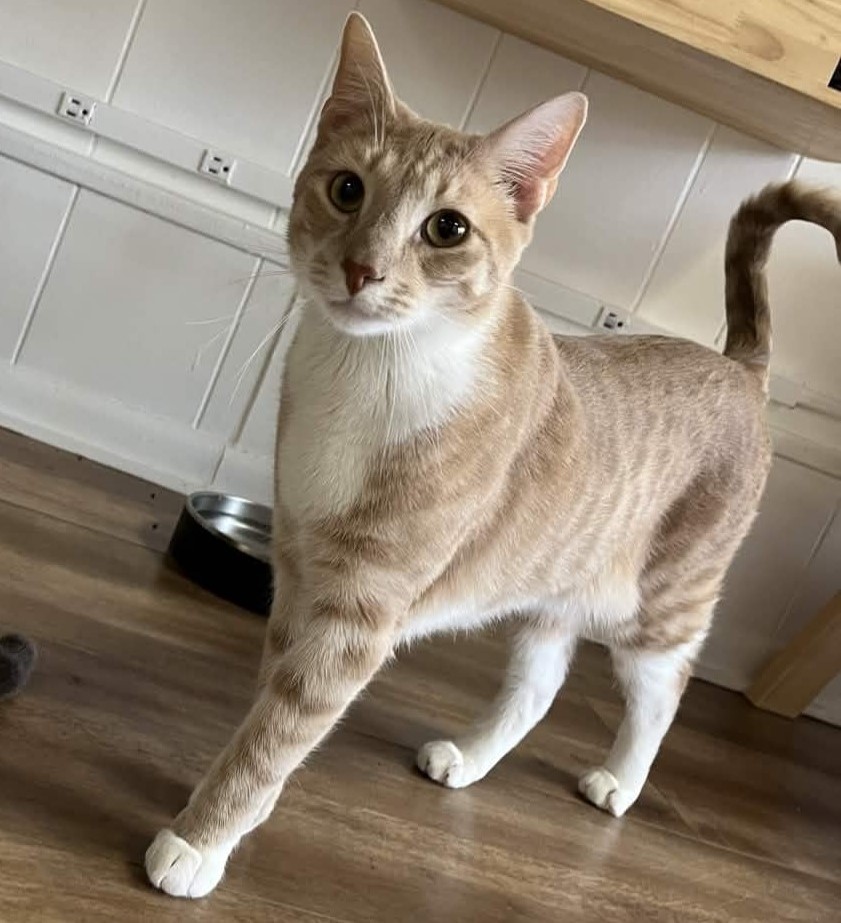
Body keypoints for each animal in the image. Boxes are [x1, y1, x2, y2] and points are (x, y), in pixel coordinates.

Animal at [145, 12, 841, 898]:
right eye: (346, 190)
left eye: (447, 228)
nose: (362, 267)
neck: (370, 374)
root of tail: (737, 363)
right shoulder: (298, 569)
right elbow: (271, 709)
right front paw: (230, 812)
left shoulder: (360, 610)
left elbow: (279, 731)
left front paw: (199, 839)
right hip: (551, 588)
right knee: (539, 686)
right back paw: (470, 759)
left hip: (664, 605)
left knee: (662, 696)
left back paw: (619, 782)